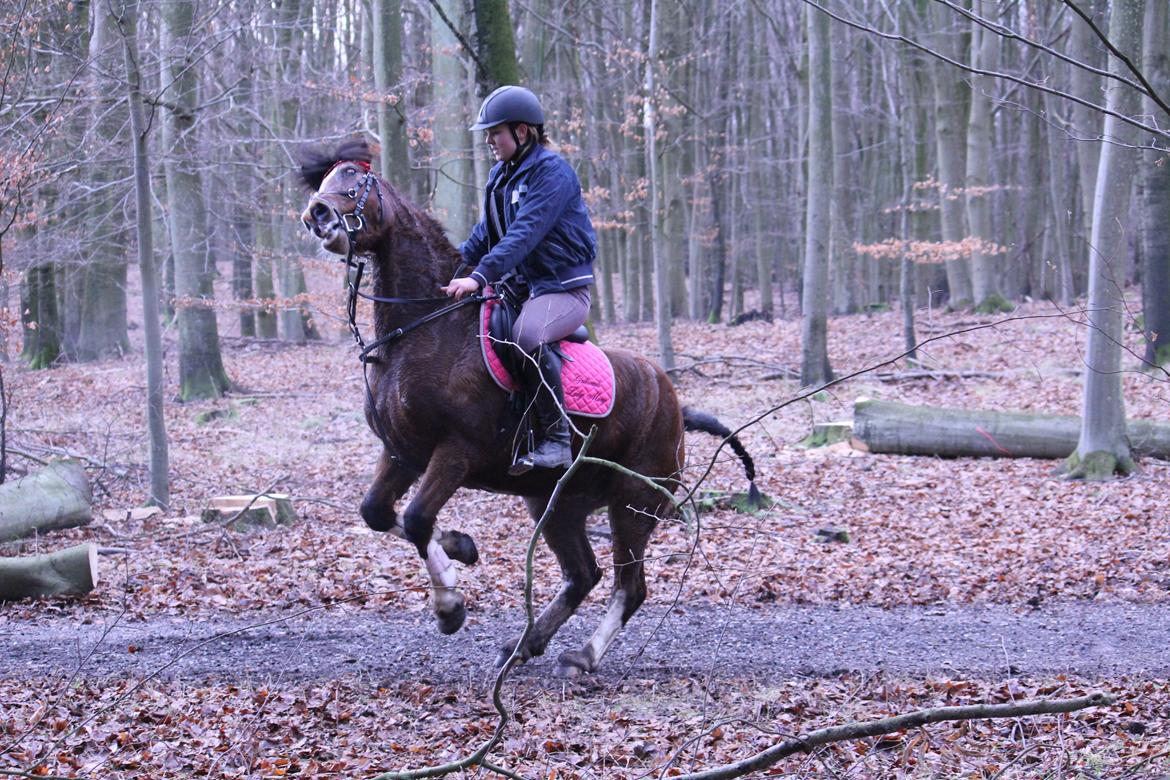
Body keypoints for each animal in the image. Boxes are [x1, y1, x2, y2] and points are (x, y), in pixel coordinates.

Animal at [299, 140, 758, 678]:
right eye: (325, 180)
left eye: (354, 179)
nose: (316, 214)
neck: (422, 328)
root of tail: (674, 405)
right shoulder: (403, 452)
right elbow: (377, 513)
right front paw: (460, 548)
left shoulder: (455, 453)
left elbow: (414, 518)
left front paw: (449, 607)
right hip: (556, 504)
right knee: (584, 574)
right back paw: (525, 645)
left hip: (633, 501)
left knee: (629, 585)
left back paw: (581, 656)